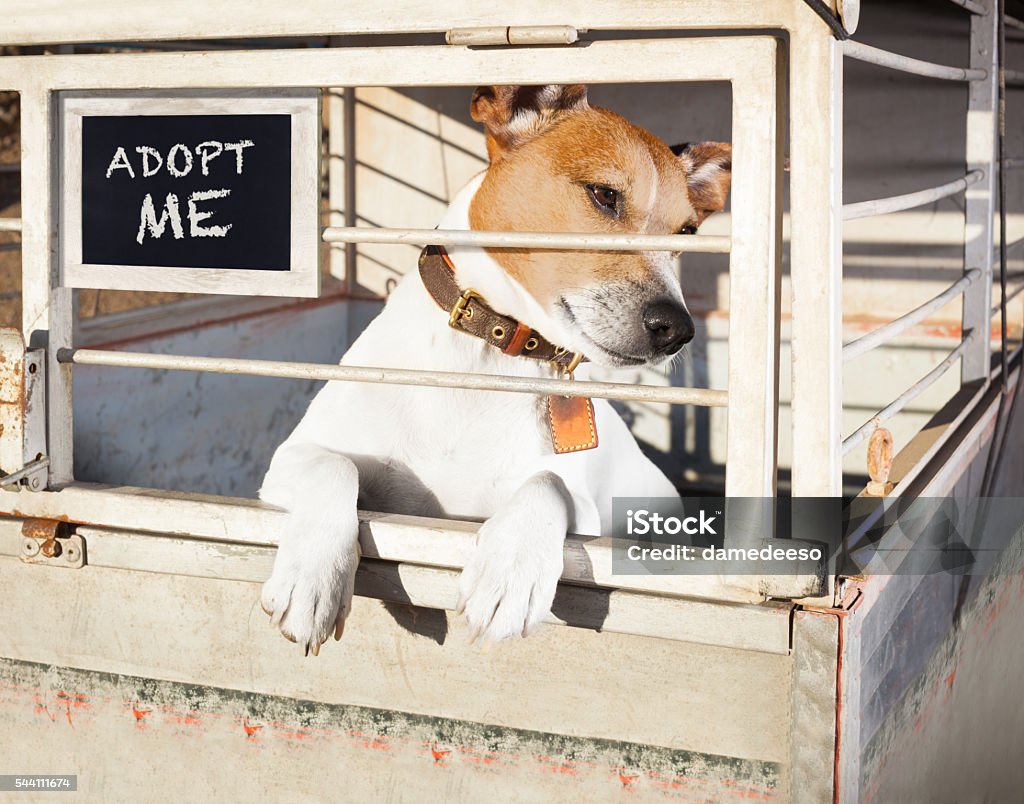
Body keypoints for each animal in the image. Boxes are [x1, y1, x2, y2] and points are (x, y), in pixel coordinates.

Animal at [260, 84, 733, 655]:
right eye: (604, 195)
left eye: (686, 231)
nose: (677, 328)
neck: (488, 355)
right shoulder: (291, 458)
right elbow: (334, 467)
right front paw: (312, 580)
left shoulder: (582, 505)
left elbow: (547, 483)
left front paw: (512, 573)